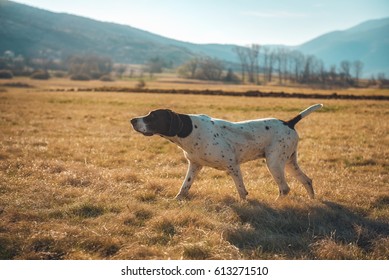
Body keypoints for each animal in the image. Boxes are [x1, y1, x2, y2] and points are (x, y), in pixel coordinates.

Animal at [130, 104, 322, 199]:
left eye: (152, 116)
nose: (132, 120)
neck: (190, 130)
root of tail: (289, 122)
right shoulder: (195, 166)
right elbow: (184, 187)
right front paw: (176, 201)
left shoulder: (233, 165)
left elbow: (241, 191)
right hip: (289, 163)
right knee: (307, 180)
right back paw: (312, 201)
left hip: (274, 163)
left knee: (284, 189)